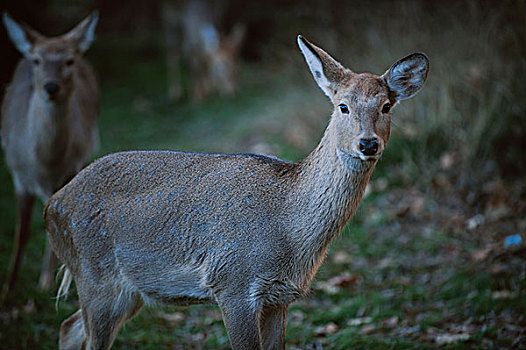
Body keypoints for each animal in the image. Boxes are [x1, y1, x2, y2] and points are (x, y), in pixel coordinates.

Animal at [1, 10, 100, 298]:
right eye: (36, 60)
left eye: (69, 61)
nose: (51, 86)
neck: (45, 164)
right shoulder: (17, 174)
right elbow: (21, 231)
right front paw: (8, 287)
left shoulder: (72, 167)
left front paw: (45, 283)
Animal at [47, 35, 432, 348]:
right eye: (343, 106)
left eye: (386, 106)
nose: (368, 143)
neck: (288, 229)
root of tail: (53, 204)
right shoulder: (231, 283)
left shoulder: (280, 296)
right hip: (94, 274)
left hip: (128, 291)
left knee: (68, 327)